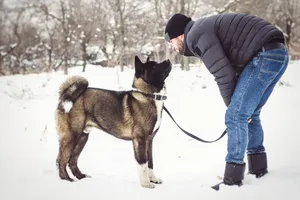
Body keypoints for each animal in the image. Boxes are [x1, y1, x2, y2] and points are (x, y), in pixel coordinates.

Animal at [54, 55, 171, 188]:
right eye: (154, 66)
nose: (168, 60)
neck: (148, 95)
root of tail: (66, 96)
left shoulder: (149, 140)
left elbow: (150, 163)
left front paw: (153, 179)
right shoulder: (140, 140)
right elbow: (143, 163)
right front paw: (145, 183)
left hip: (82, 137)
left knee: (72, 160)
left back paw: (81, 176)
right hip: (72, 137)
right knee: (62, 160)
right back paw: (67, 179)